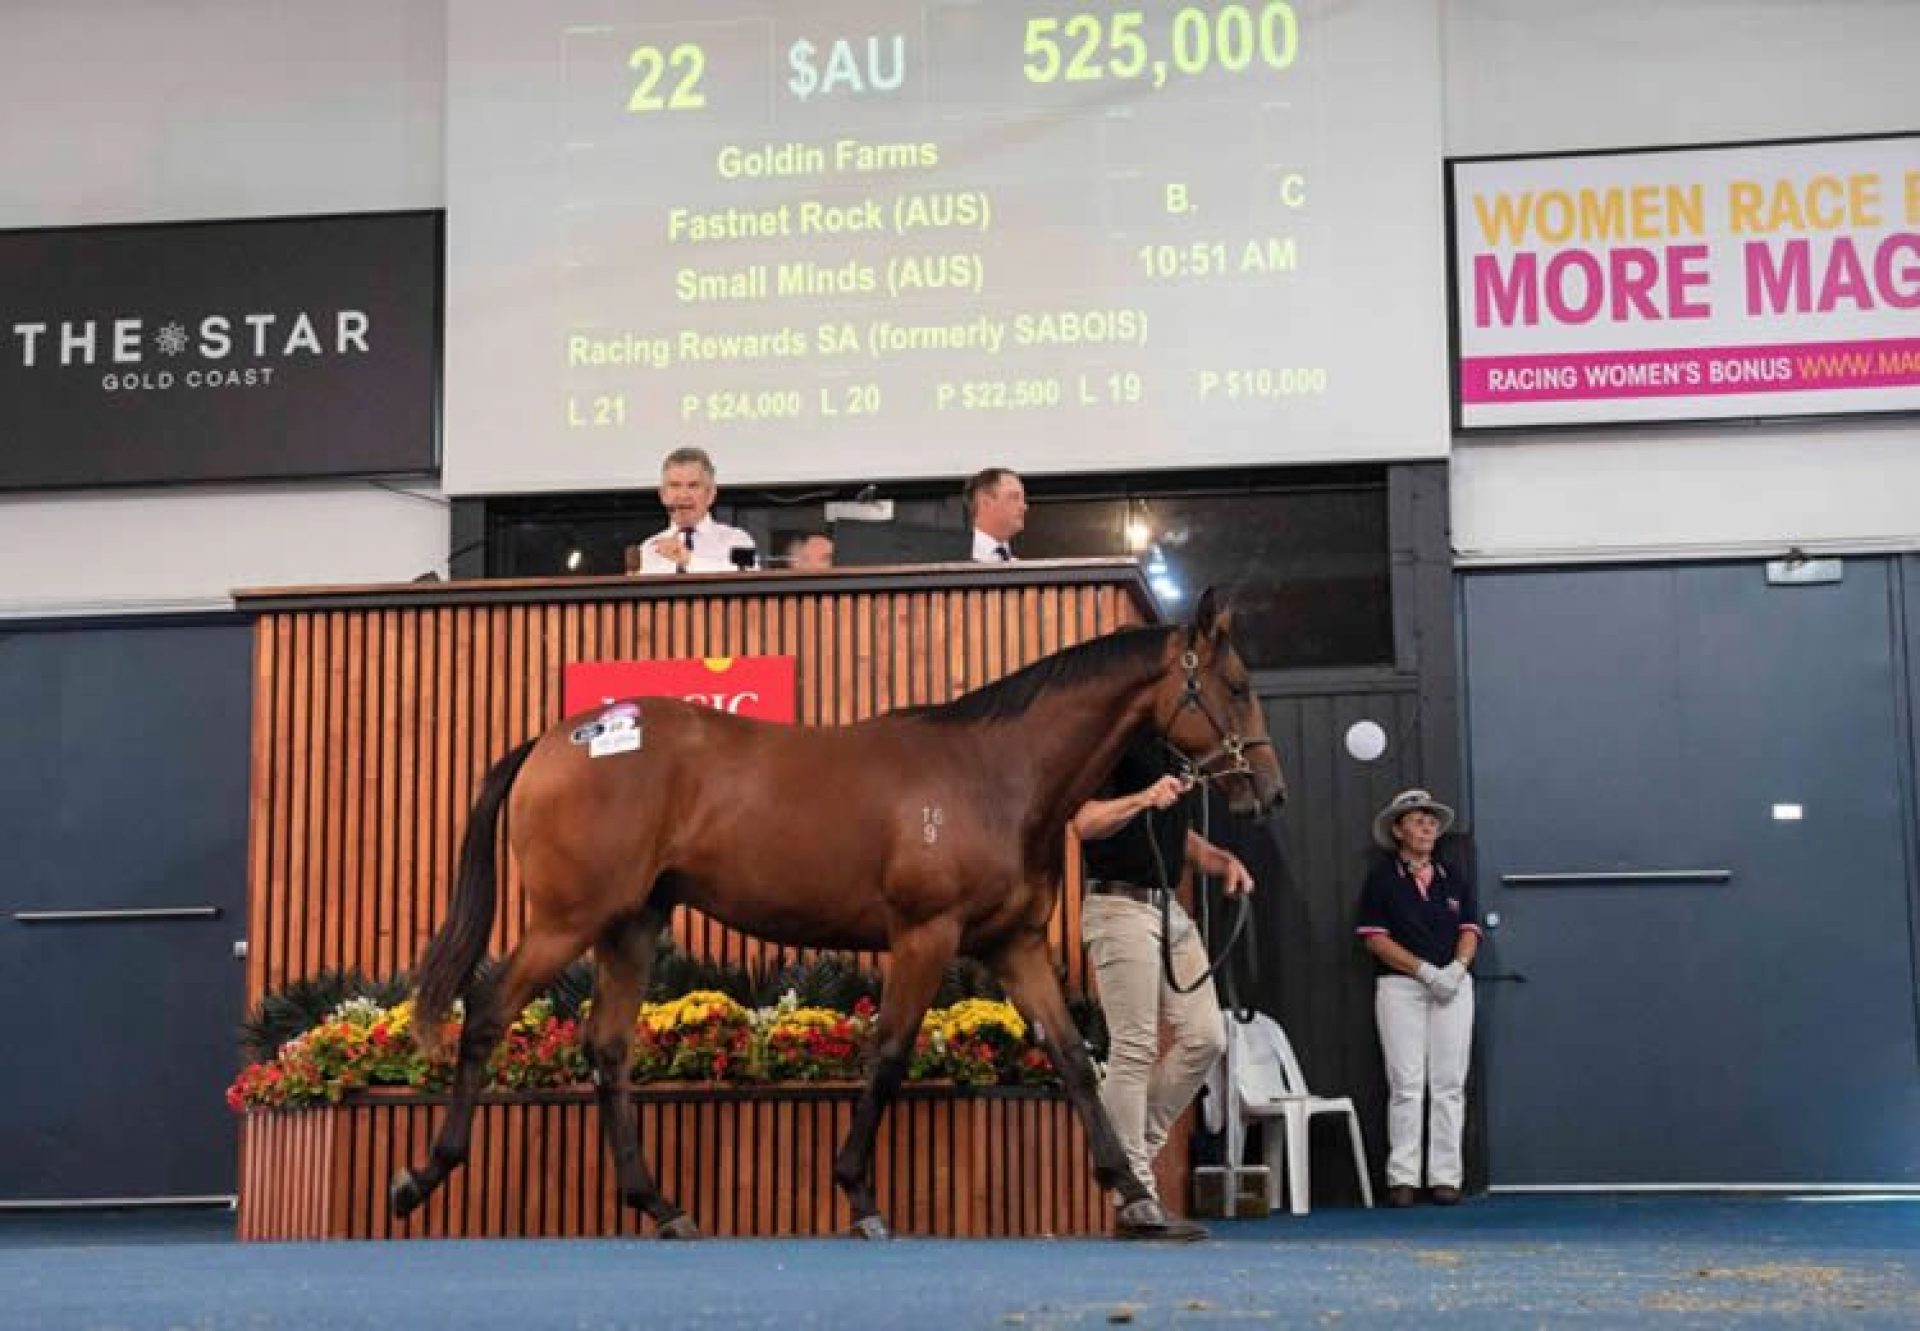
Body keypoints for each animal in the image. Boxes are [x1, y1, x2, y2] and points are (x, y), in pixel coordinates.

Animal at [395, 587, 1282, 1244]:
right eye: (1237, 687)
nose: (1268, 793)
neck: (992, 773)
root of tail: (555, 740)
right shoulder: (925, 934)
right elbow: (887, 1054)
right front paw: (859, 1196)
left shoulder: (1013, 944)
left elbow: (1071, 1058)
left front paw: (1133, 1193)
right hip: (567, 918)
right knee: (487, 1013)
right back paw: (422, 1176)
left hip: (630, 925)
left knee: (607, 1050)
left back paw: (661, 1205)